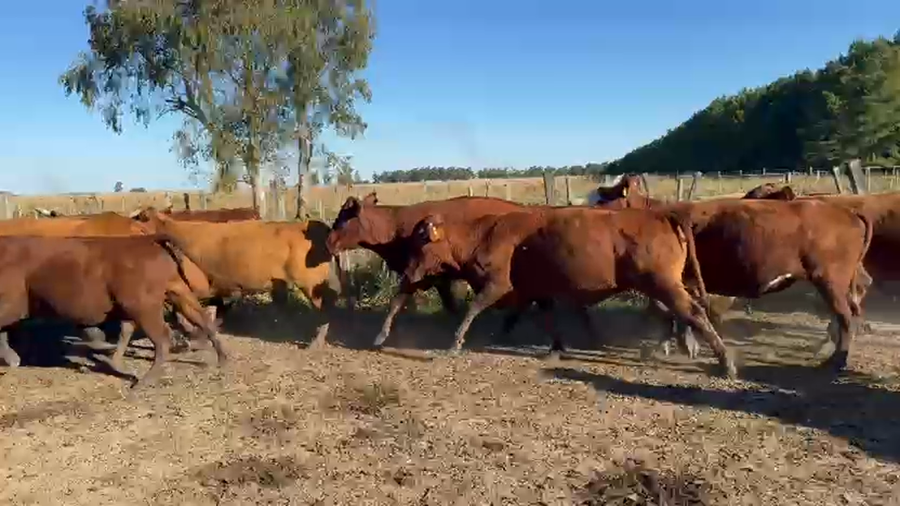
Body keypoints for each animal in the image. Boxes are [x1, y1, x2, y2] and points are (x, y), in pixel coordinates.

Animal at [0, 235, 225, 389]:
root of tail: (150, 240)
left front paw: (13, 359)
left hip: (143, 306)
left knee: (162, 338)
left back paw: (143, 382)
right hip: (177, 293)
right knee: (203, 320)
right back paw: (224, 360)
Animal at [401, 206, 736, 376]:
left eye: (421, 238)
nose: (406, 273)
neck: (484, 233)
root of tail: (662, 213)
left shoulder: (498, 285)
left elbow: (473, 310)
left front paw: (455, 342)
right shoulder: (536, 290)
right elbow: (545, 318)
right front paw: (556, 348)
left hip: (663, 284)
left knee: (692, 312)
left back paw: (725, 363)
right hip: (660, 286)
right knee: (673, 314)